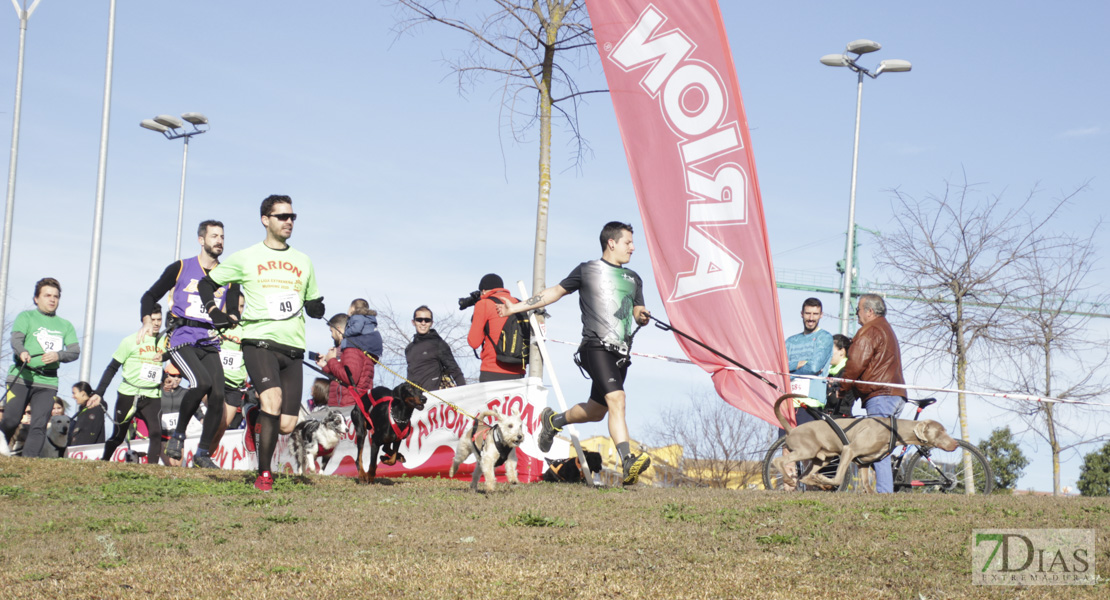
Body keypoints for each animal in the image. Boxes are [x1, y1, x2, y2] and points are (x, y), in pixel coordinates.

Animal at [768, 392, 959, 485]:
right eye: (940, 431)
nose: (956, 443)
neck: (893, 431)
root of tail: (791, 429)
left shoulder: (864, 464)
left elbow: (868, 486)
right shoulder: (849, 450)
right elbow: (838, 478)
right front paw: (828, 480)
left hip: (821, 458)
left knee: (804, 477)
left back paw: (817, 481)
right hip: (807, 450)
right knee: (778, 461)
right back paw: (795, 479)